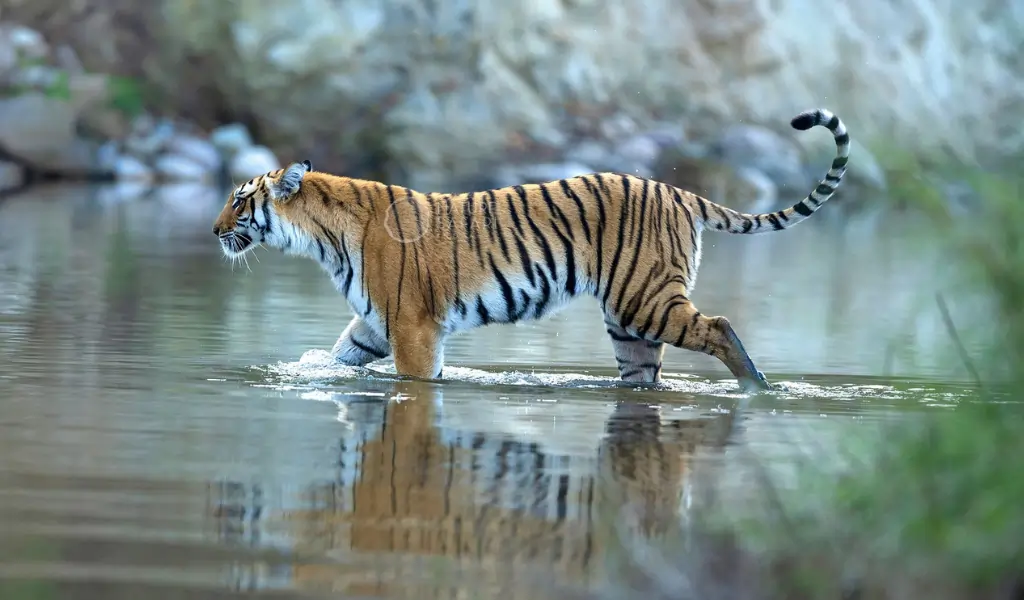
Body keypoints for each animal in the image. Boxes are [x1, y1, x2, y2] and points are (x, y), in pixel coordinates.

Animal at [212, 108, 850, 392]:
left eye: (239, 201)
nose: (215, 230)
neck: (322, 237)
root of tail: (679, 191)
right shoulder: (375, 322)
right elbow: (340, 355)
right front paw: (307, 371)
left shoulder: (413, 326)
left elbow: (418, 379)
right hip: (628, 323)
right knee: (645, 375)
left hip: (646, 301)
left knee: (719, 325)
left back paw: (756, 387)